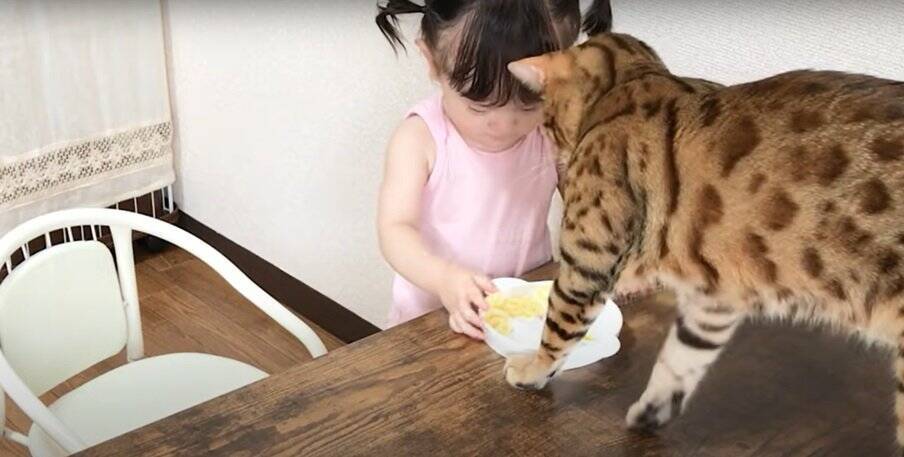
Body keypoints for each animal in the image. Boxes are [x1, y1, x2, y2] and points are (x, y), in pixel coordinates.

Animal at [503, 32, 904, 446]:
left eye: (546, 122)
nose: (554, 149)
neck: (629, 80)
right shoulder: (714, 298)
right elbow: (680, 359)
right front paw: (649, 414)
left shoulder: (587, 261)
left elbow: (557, 326)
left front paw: (532, 371)